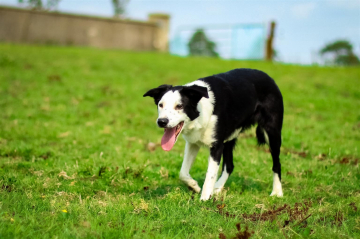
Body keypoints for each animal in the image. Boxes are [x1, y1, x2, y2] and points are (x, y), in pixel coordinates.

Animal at [143, 68, 284, 201]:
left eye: (179, 106)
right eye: (160, 105)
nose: (162, 121)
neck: (200, 111)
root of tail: (268, 77)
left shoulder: (216, 146)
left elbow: (210, 174)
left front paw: (205, 199)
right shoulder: (193, 143)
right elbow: (183, 172)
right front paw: (194, 186)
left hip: (272, 133)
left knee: (276, 164)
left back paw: (277, 192)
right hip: (230, 136)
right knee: (229, 166)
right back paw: (217, 188)